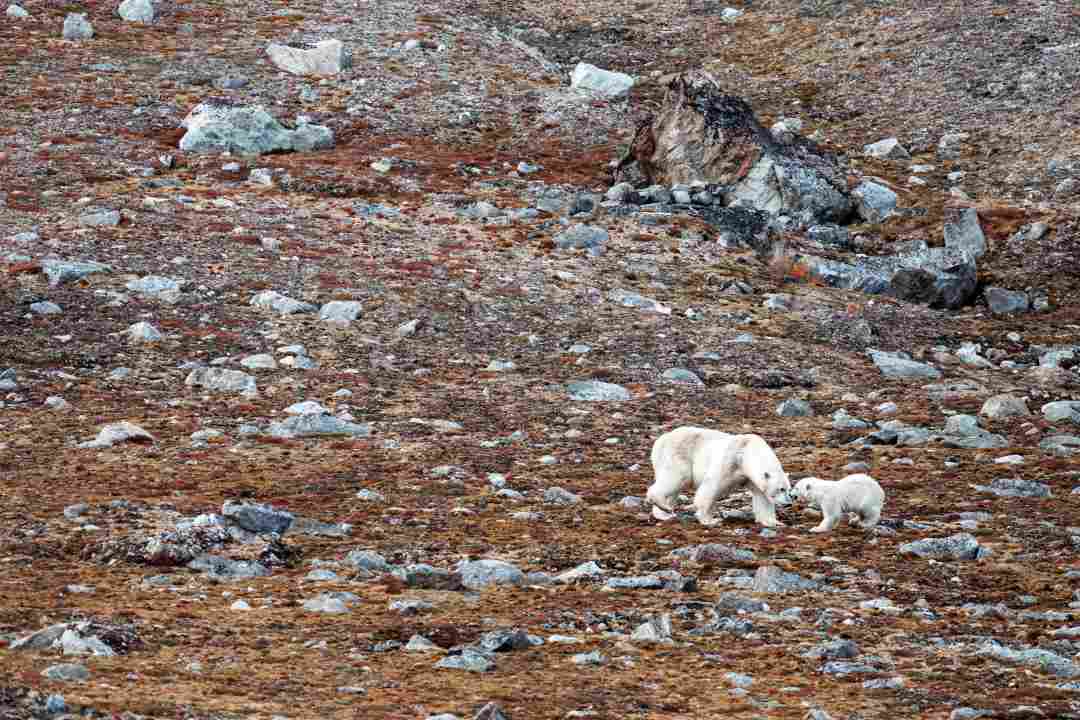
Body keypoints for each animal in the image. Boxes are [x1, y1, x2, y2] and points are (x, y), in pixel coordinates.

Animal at [646, 426, 791, 528]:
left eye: (788, 489)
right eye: (781, 489)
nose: (789, 503)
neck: (746, 452)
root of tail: (662, 439)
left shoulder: (751, 477)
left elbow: (762, 497)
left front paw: (773, 522)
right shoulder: (730, 460)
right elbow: (711, 486)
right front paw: (710, 520)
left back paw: (664, 513)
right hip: (677, 455)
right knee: (676, 477)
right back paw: (663, 505)